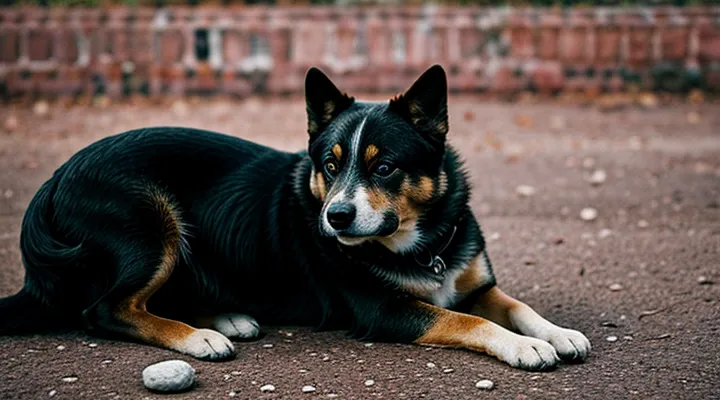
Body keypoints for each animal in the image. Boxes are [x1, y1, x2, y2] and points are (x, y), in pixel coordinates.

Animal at [1, 65, 592, 372]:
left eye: (384, 166)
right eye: (329, 165)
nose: (336, 216)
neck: (421, 244)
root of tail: (54, 180)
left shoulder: (475, 282)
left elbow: (514, 305)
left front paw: (557, 333)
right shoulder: (383, 309)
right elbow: (468, 321)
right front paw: (524, 346)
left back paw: (225, 317)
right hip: (150, 221)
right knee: (105, 308)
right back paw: (199, 337)